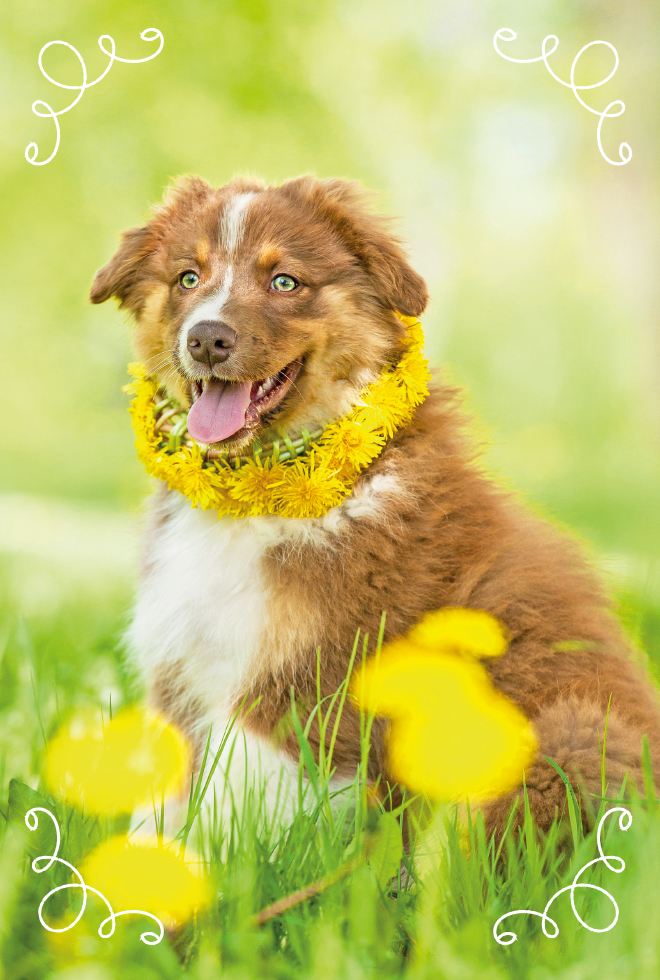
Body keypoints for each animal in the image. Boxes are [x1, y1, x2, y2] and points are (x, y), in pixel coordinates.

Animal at [90, 172, 660, 840]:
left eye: (285, 282)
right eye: (187, 277)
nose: (206, 338)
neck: (252, 502)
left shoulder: (298, 685)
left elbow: (232, 811)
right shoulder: (181, 668)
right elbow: (161, 805)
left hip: (566, 735)